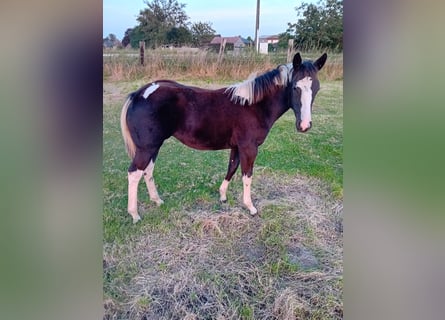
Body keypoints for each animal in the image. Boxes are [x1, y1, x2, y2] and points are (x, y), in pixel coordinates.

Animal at [120, 52, 326, 222]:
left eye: (316, 88)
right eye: (295, 87)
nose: (304, 125)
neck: (253, 105)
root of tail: (139, 93)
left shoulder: (237, 147)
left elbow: (231, 169)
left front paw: (222, 196)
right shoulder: (249, 148)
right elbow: (247, 175)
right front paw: (250, 207)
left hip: (154, 146)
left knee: (147, 171)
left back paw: (157, 201)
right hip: (147, 148)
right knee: (134, 173)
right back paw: (134, 214)